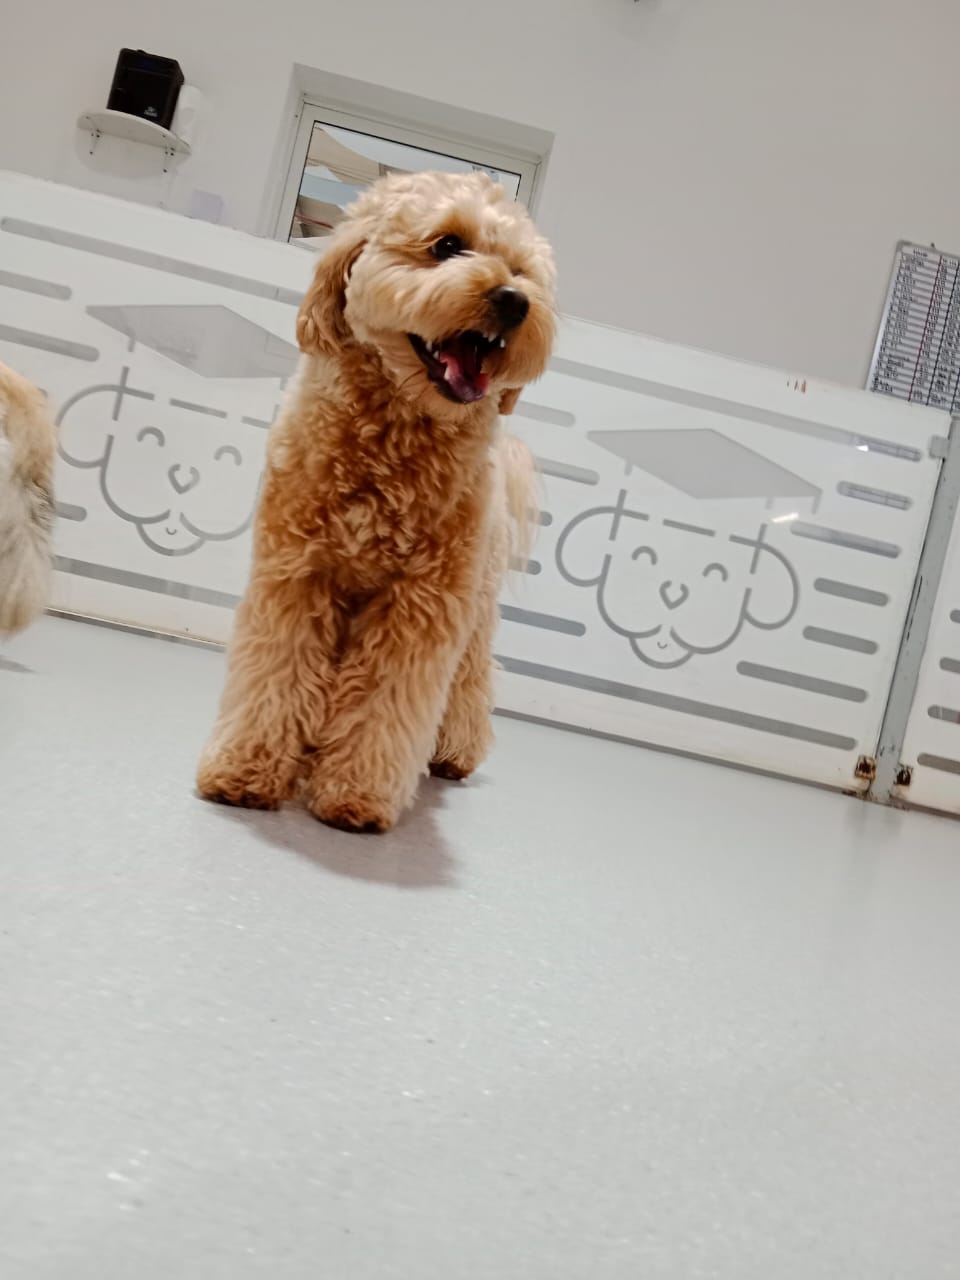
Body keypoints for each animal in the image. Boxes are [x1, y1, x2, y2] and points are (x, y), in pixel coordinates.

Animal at [196, 171, 557, 832]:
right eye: (447, 245)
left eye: (521, 270)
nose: (514, 299)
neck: (392, 439)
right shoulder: (297, 577)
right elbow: (277, 675)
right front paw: (248, 769)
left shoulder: (419, 605)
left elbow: (384, 704)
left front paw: (356, 793)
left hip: (474, 609)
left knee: (470, 682)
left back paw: (454, 751)